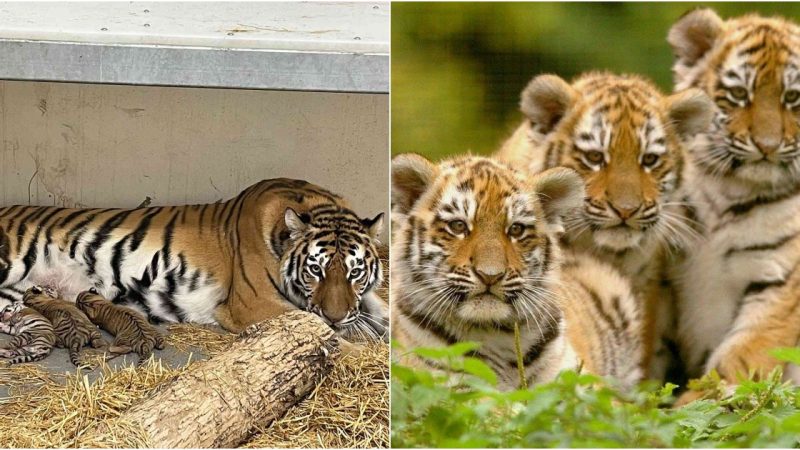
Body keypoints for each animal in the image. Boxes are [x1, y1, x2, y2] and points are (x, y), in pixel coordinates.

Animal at [0, 177, 390, 366]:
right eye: (315, 270)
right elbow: (335, 340)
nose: (336, 316)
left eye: (355, 272)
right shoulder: (255, 305)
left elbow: (383, 315)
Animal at [664, 7, 800, 388]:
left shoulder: (778, 283)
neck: (730, 192)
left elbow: (734, 364)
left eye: (793, 98)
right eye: (739, 93)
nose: (767, 146)